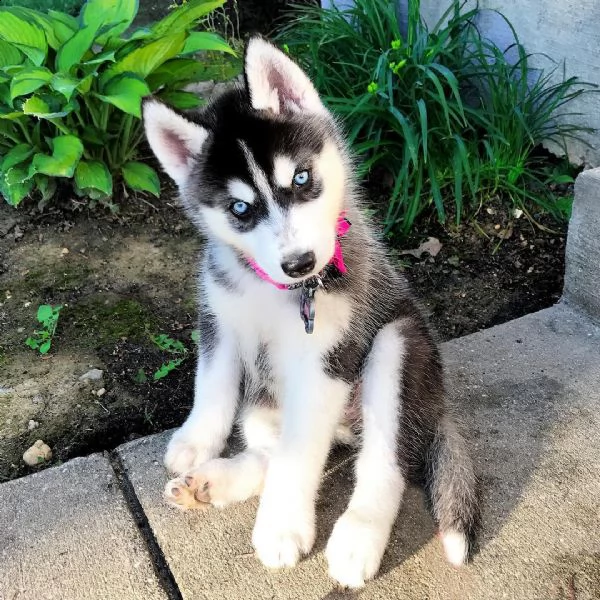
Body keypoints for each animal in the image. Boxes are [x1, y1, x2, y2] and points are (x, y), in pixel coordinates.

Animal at [142, 36, 478, 584]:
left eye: (301, 178)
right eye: (240, 209)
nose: (299, 263)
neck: (273, 290)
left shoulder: (326, 359)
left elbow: (300, 458)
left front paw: (281, 528)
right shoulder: (220, 321)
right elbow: (212, 387)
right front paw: (196, 441)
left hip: (398, 347)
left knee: (383, 462)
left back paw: (358, 539)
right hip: (265, 403)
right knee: (275, 450)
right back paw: (209, 484)